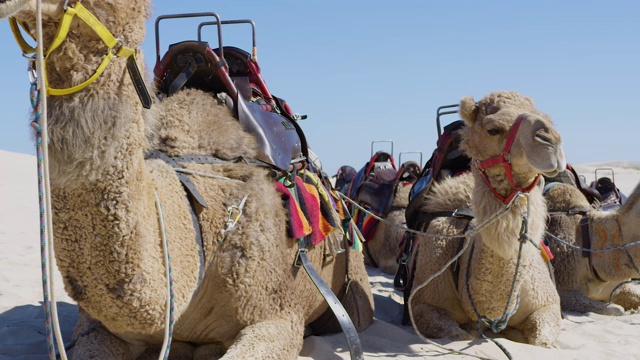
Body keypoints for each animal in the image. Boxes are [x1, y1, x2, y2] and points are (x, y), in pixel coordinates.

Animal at [408, 90, 568, 346]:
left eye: (548, 119)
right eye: (494, 129)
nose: (550, 140)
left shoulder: (548, 303)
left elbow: (540, 339)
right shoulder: (423, 304)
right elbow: (458, 333)